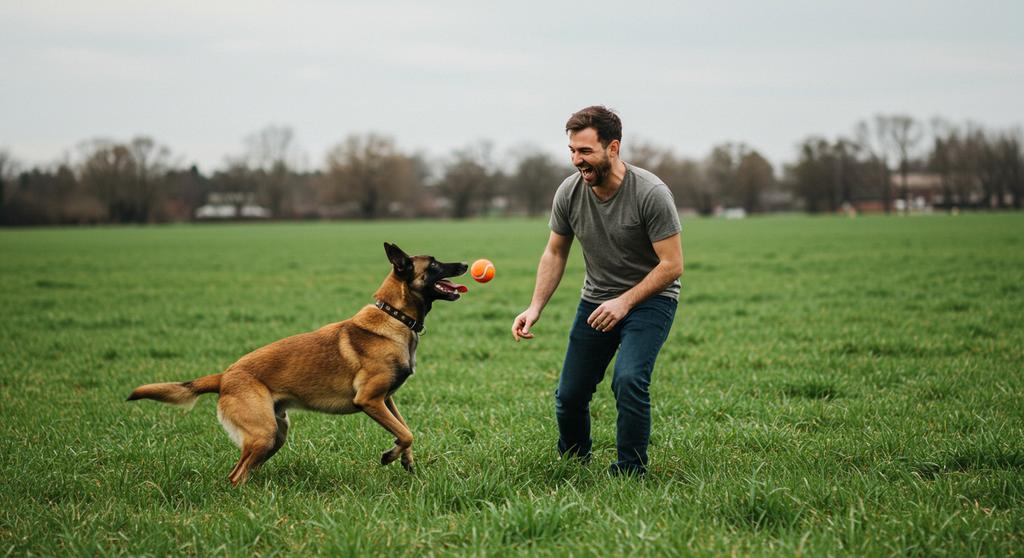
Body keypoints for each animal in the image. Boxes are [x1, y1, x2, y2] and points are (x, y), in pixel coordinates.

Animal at [124, 241, 471, 485]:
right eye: (435, 264)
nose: (466, 263)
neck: (395, 317)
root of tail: (225, 376)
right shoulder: (370, 400)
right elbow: (407, 433)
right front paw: (390, 456)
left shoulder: (386, 400)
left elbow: (404, 428)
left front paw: (405, 460)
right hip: (264, 433)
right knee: (235, 475)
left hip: (276, 434)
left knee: (242, 472)